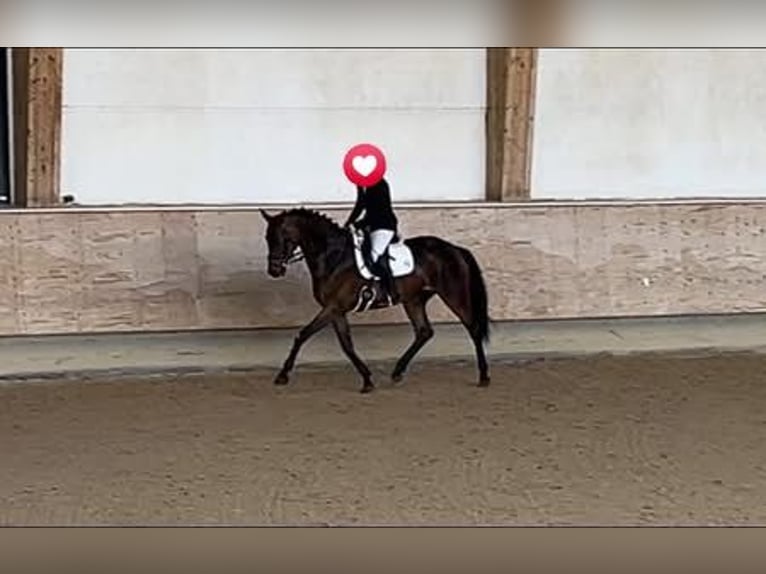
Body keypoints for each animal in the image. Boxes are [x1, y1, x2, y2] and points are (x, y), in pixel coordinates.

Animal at [260, 208, 490, 393]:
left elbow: (303, 335)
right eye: (267, 238)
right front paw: (367, 380)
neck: (335, 257)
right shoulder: (336, 310)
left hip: (453, 295)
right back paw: (397, 372)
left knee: (473, 329)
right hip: (414, 300)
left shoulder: (333, 307)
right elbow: (346, 345)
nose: (274, 270)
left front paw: (282, 376)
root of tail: (455, 249)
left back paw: (484, 377)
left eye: (284, 237)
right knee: (424, 332)